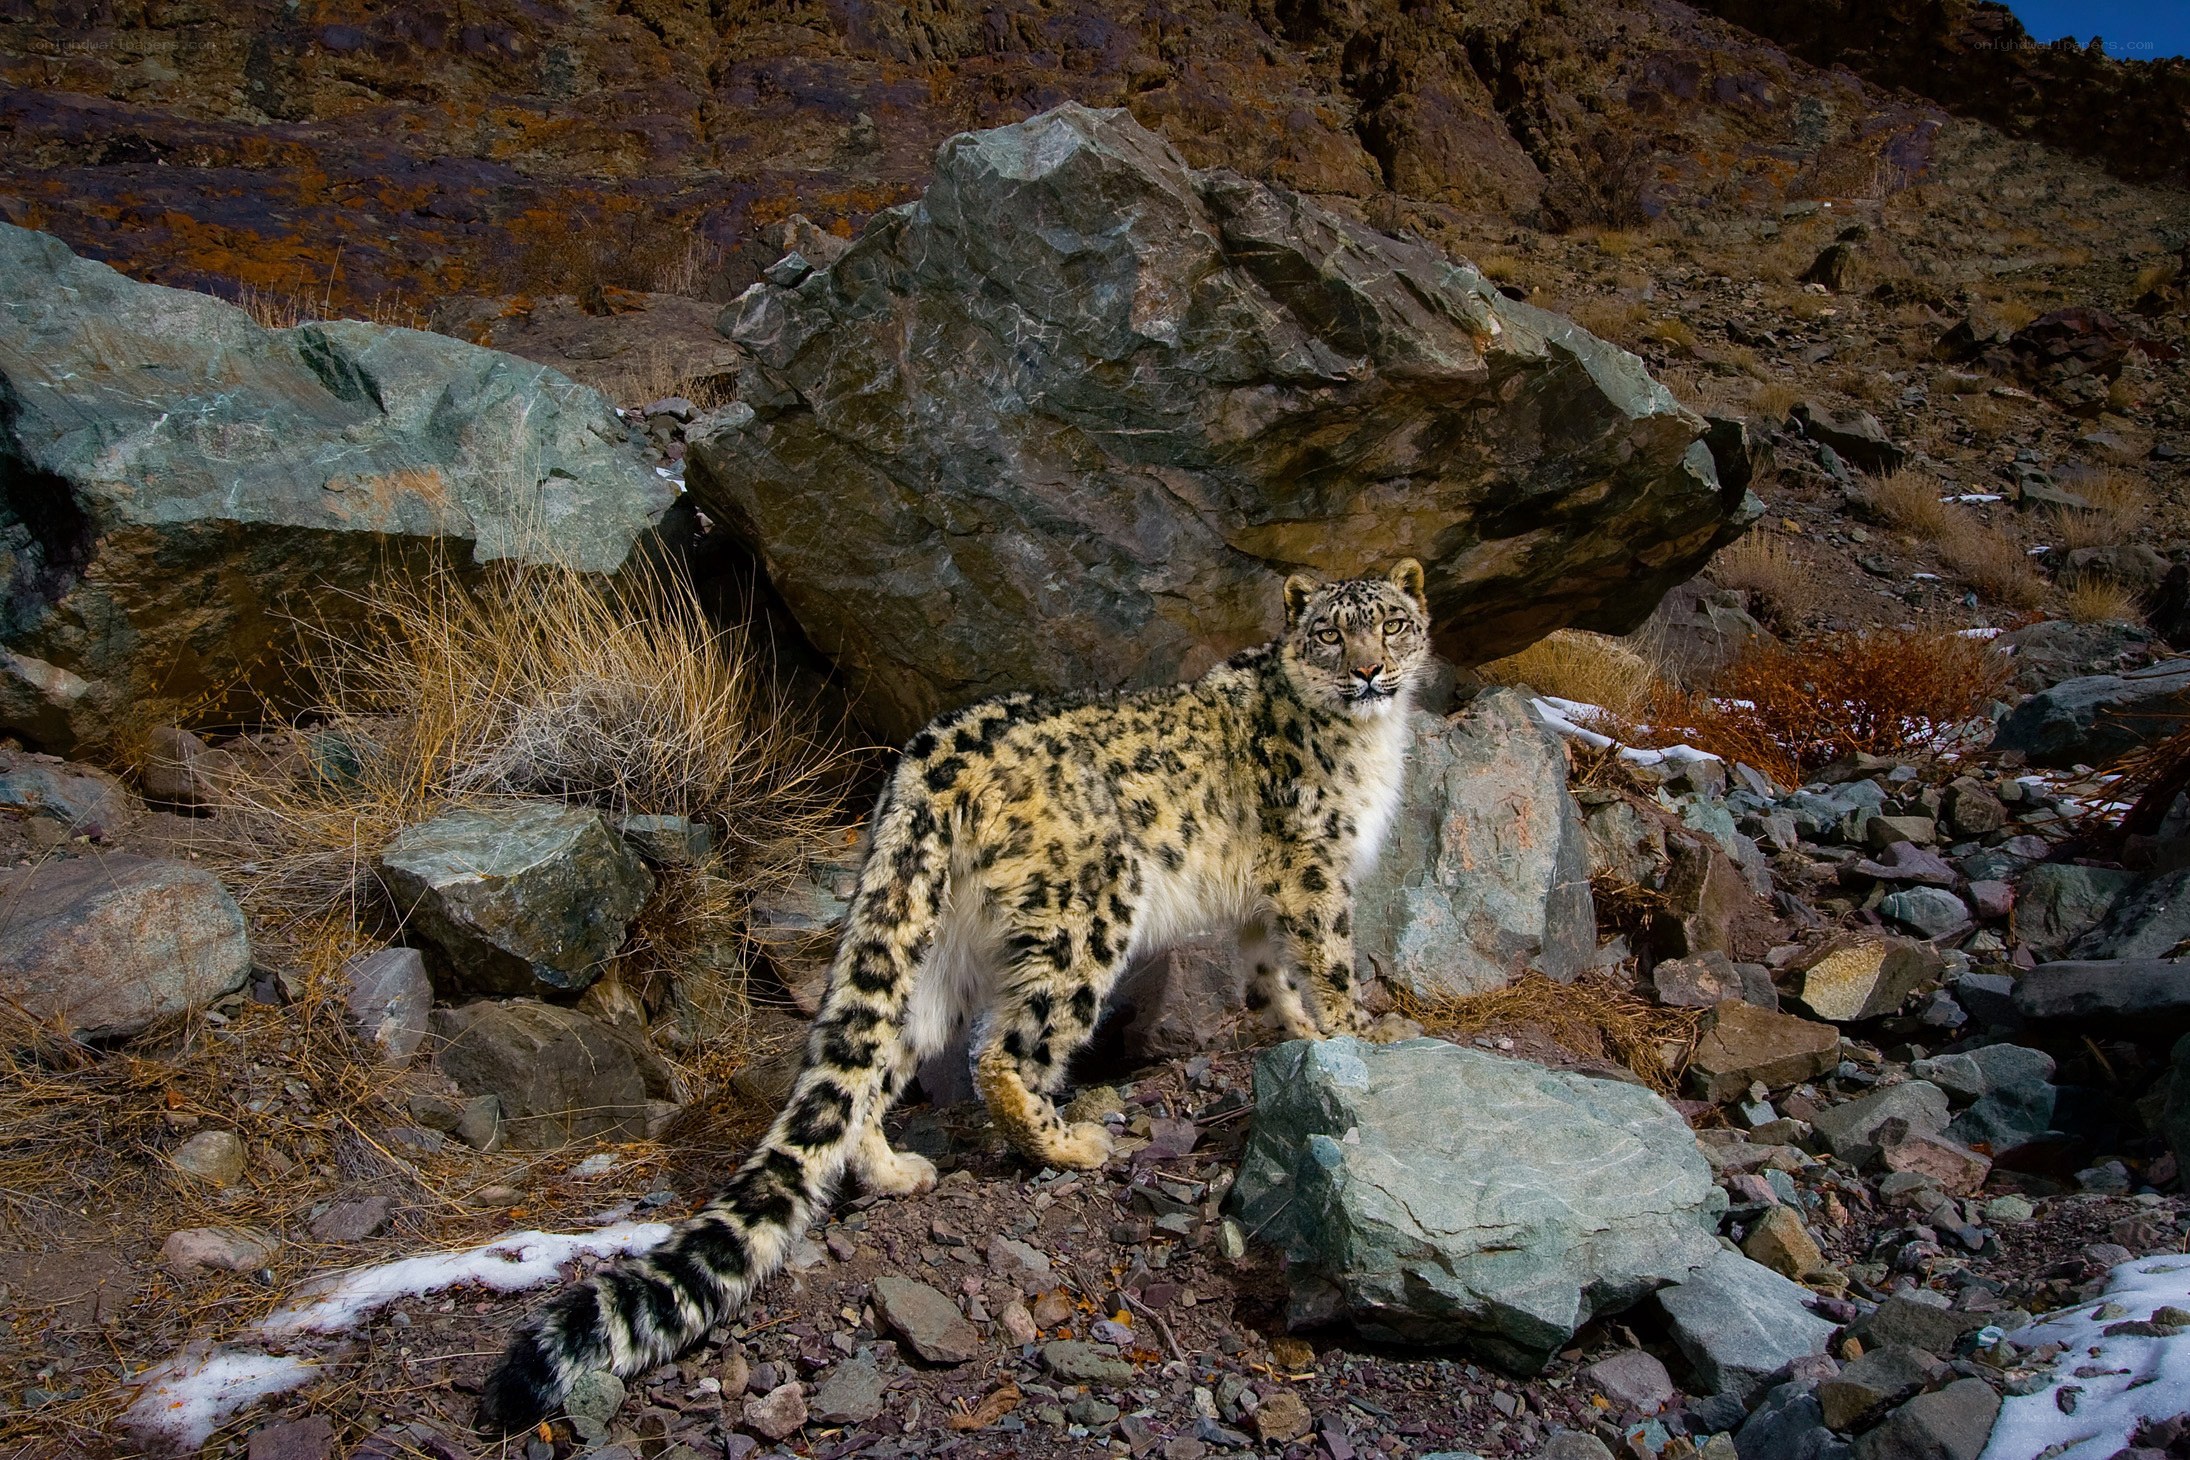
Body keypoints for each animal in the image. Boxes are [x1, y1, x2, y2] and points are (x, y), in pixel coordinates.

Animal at [476, 558, 1434, 1432]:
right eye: (1330, 633)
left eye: (1391, 624)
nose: (1367, 672)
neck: (1367, 746)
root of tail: (925, 760)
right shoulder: (1313, 869)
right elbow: (1329, 957)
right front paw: (1361, 1033)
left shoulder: (1270, 906)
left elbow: (1271, 974)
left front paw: (1300, 1031)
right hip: (1092, 910)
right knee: (1005, 1054)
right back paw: (1071, 1142)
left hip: (933, 947)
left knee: (875, 1061)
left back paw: (896, 1168)